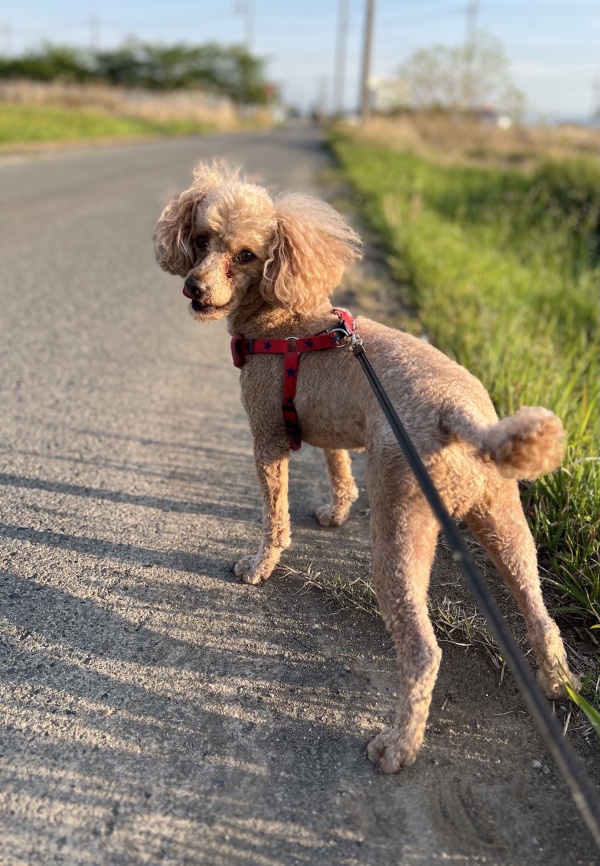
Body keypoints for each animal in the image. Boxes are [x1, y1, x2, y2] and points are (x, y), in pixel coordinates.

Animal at [154, 162, 576, 772]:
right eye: (203, 239)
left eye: (247, 255)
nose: (194, 287)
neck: (285, 317)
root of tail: (461, 415)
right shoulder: (328, 426)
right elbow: (338, 471)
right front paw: (335, 514)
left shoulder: (268, 438)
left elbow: (274, 516)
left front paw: (260, 565)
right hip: (502, 516)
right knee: (538, 610)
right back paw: (557, 683)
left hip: (401, 521)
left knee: (423, 651)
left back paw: (398, 745)